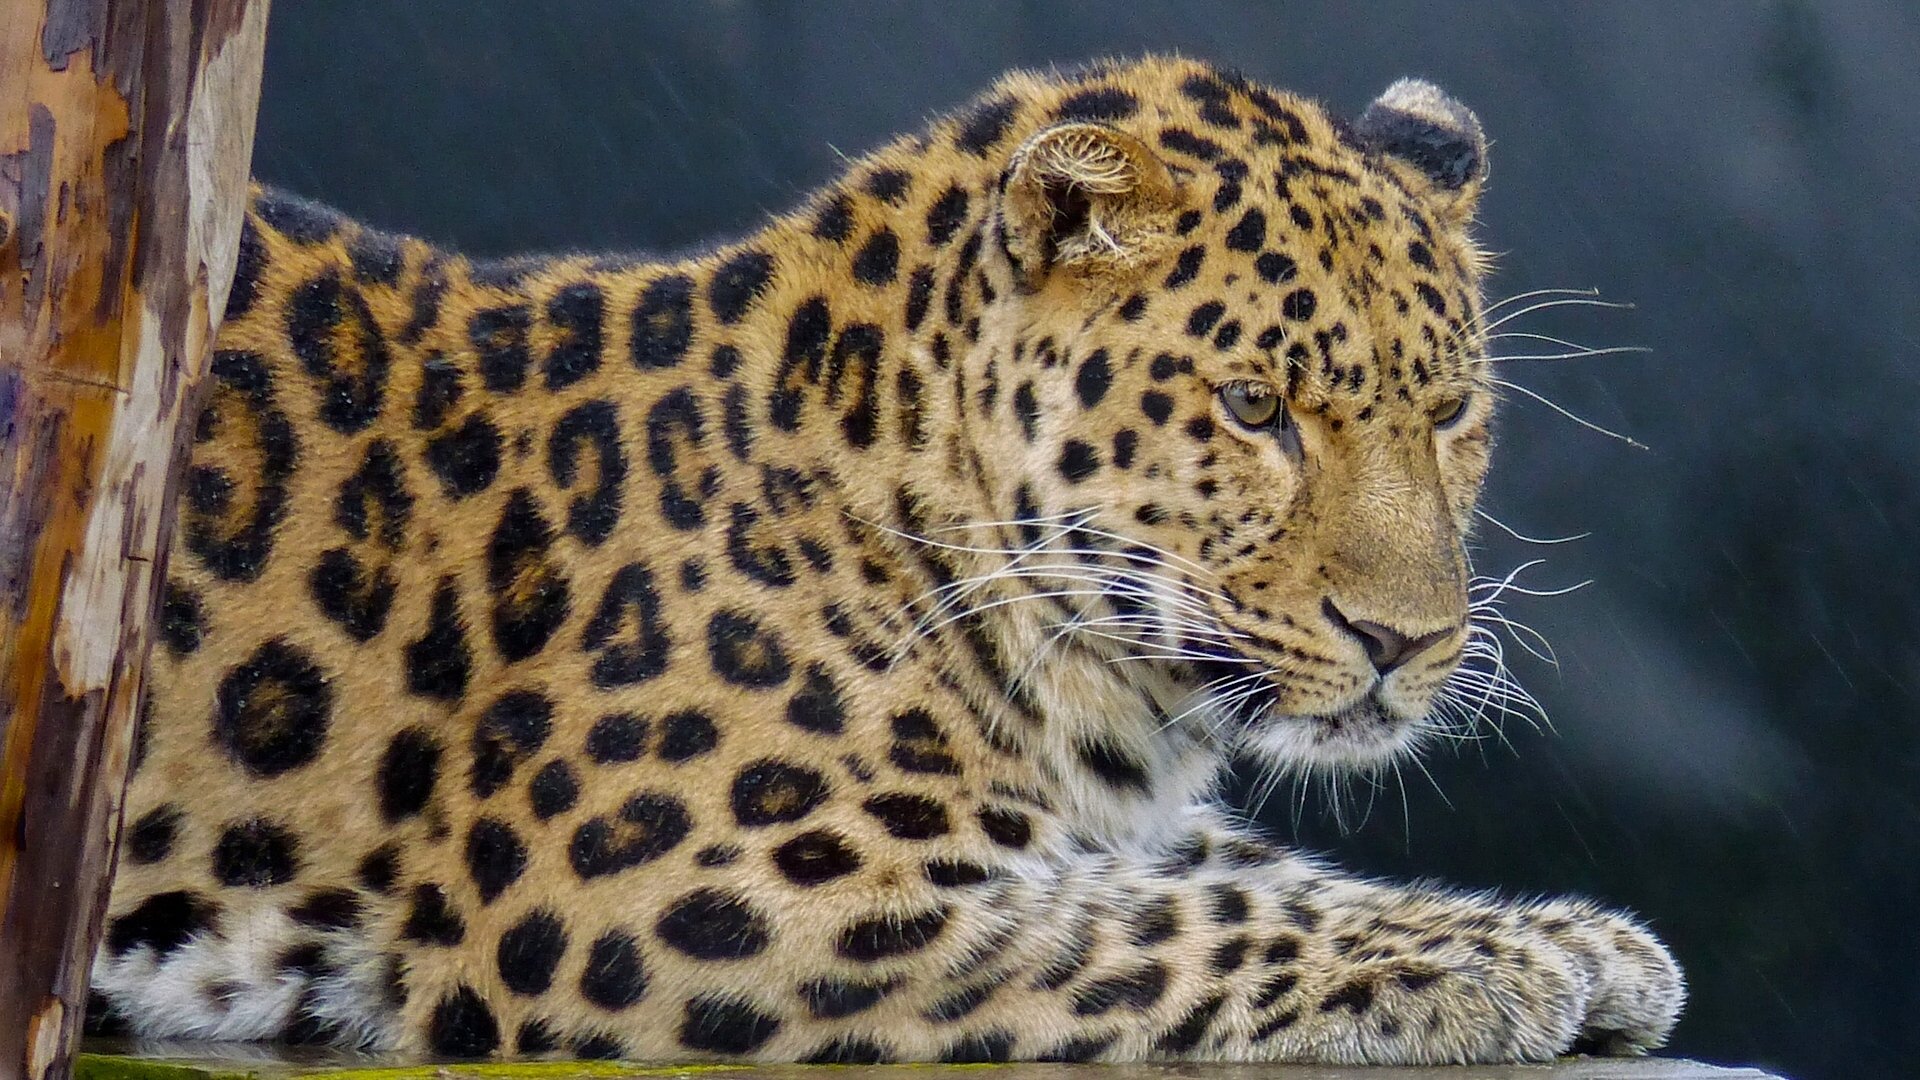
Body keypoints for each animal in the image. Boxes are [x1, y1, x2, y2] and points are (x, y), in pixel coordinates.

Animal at [88, 56, 1685, 1065]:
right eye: (1253, 408)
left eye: (1453, 412)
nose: (1407, 643)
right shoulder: (674, 895)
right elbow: (1163, 924)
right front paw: (1491, 964)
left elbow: (1242, 869)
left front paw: (1575, 940)